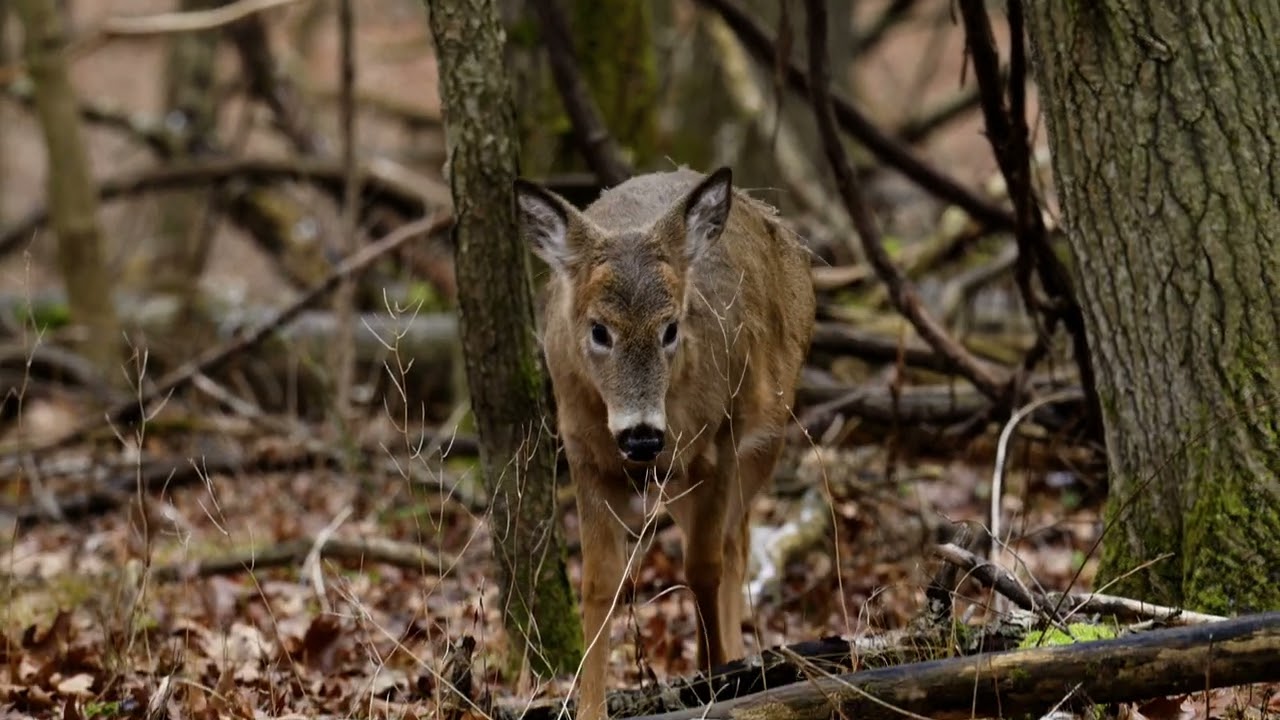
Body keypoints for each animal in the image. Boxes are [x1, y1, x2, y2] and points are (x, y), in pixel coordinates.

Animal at [513, 165, 816, 720]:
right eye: (599, 330)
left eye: (671, 327)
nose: (641, 436)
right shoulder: (584, 454)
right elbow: (599, 583)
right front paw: (591, 708)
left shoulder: (720, 439)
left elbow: (704, 566)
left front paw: (721, 681)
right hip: (677, 479)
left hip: (765, 435)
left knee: (733, 542)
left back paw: (729, 659)